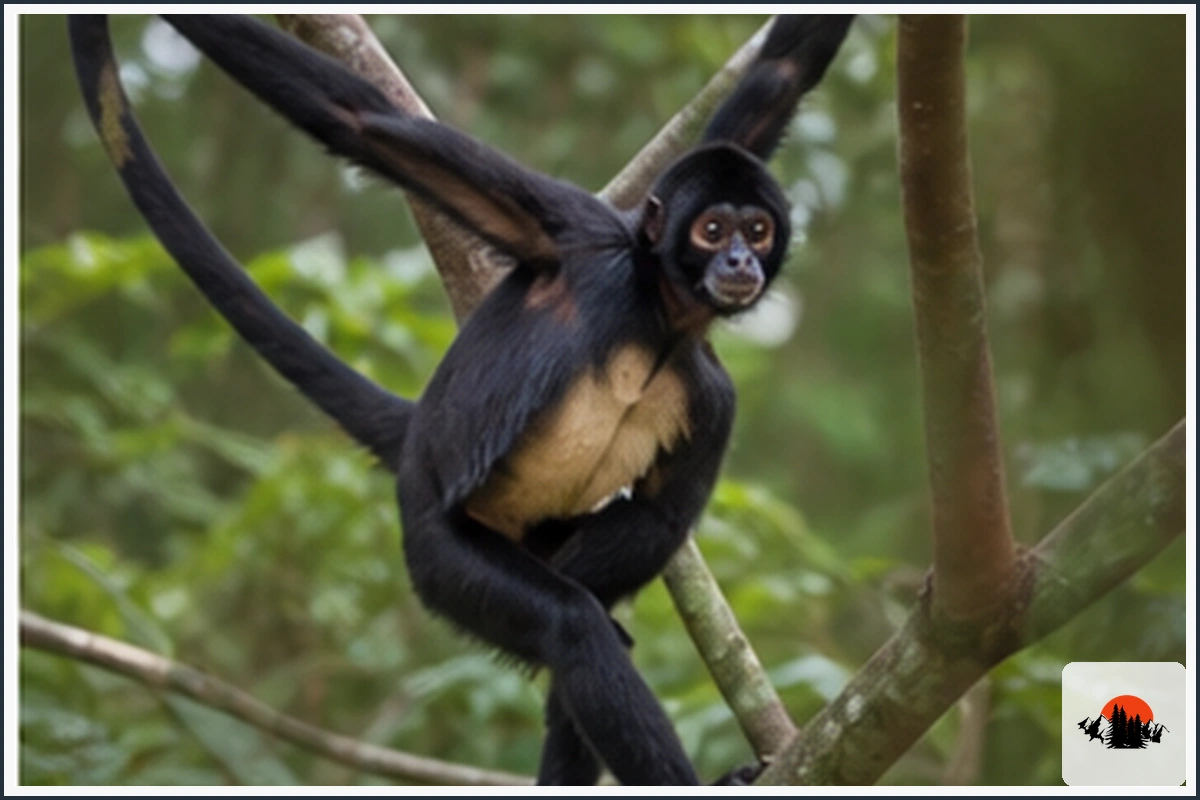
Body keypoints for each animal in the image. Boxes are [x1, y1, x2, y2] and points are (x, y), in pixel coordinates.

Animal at [68, 14, 852, 785]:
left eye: (757, 229)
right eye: (713, 230)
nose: (740, 261)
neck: (658, 316)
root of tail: (417, 447)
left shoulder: (712, 394)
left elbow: (777, 78)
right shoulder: (586, 235)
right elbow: (359, 121)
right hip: (440, 553)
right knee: (572, 628)